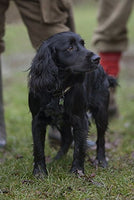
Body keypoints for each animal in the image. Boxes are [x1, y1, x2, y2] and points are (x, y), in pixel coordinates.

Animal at [28, 31, 116, 177]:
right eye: (70, 48)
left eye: (83, 44)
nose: (97, 59)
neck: (58, 90)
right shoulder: (37, 120)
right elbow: (38, 147)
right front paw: (40, 172)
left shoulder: (80, 119)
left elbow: (79, 148)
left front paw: (77, 171)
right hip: (62, 120)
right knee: (68, 138)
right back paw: (58, 159)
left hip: (101, 112)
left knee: (101, 138)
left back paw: (101, 160)